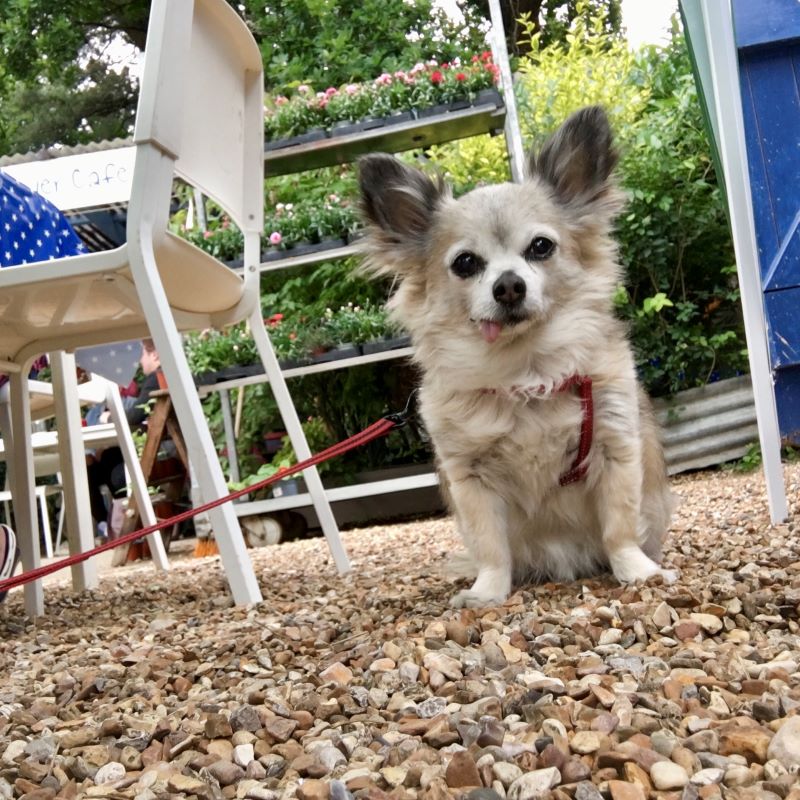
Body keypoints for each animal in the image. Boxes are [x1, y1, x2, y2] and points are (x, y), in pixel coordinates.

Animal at [356, 106, 676, 608]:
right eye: (465, 263)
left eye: (540, 247)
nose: (508, 285)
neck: (525, 370)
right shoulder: (472, 481)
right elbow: (491, 547)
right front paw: (488, 591)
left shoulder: (614, 451)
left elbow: (620, 528)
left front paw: (636, 571)